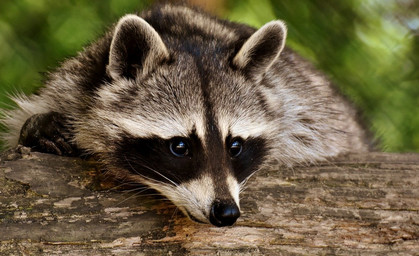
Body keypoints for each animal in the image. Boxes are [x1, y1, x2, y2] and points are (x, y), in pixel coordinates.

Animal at [0, 3, 370, 226]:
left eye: (235, 146)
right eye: (180, 146)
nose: (226, 213)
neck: (185, 35)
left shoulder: (301, 106)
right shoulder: (71, 84)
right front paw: (40, 129)